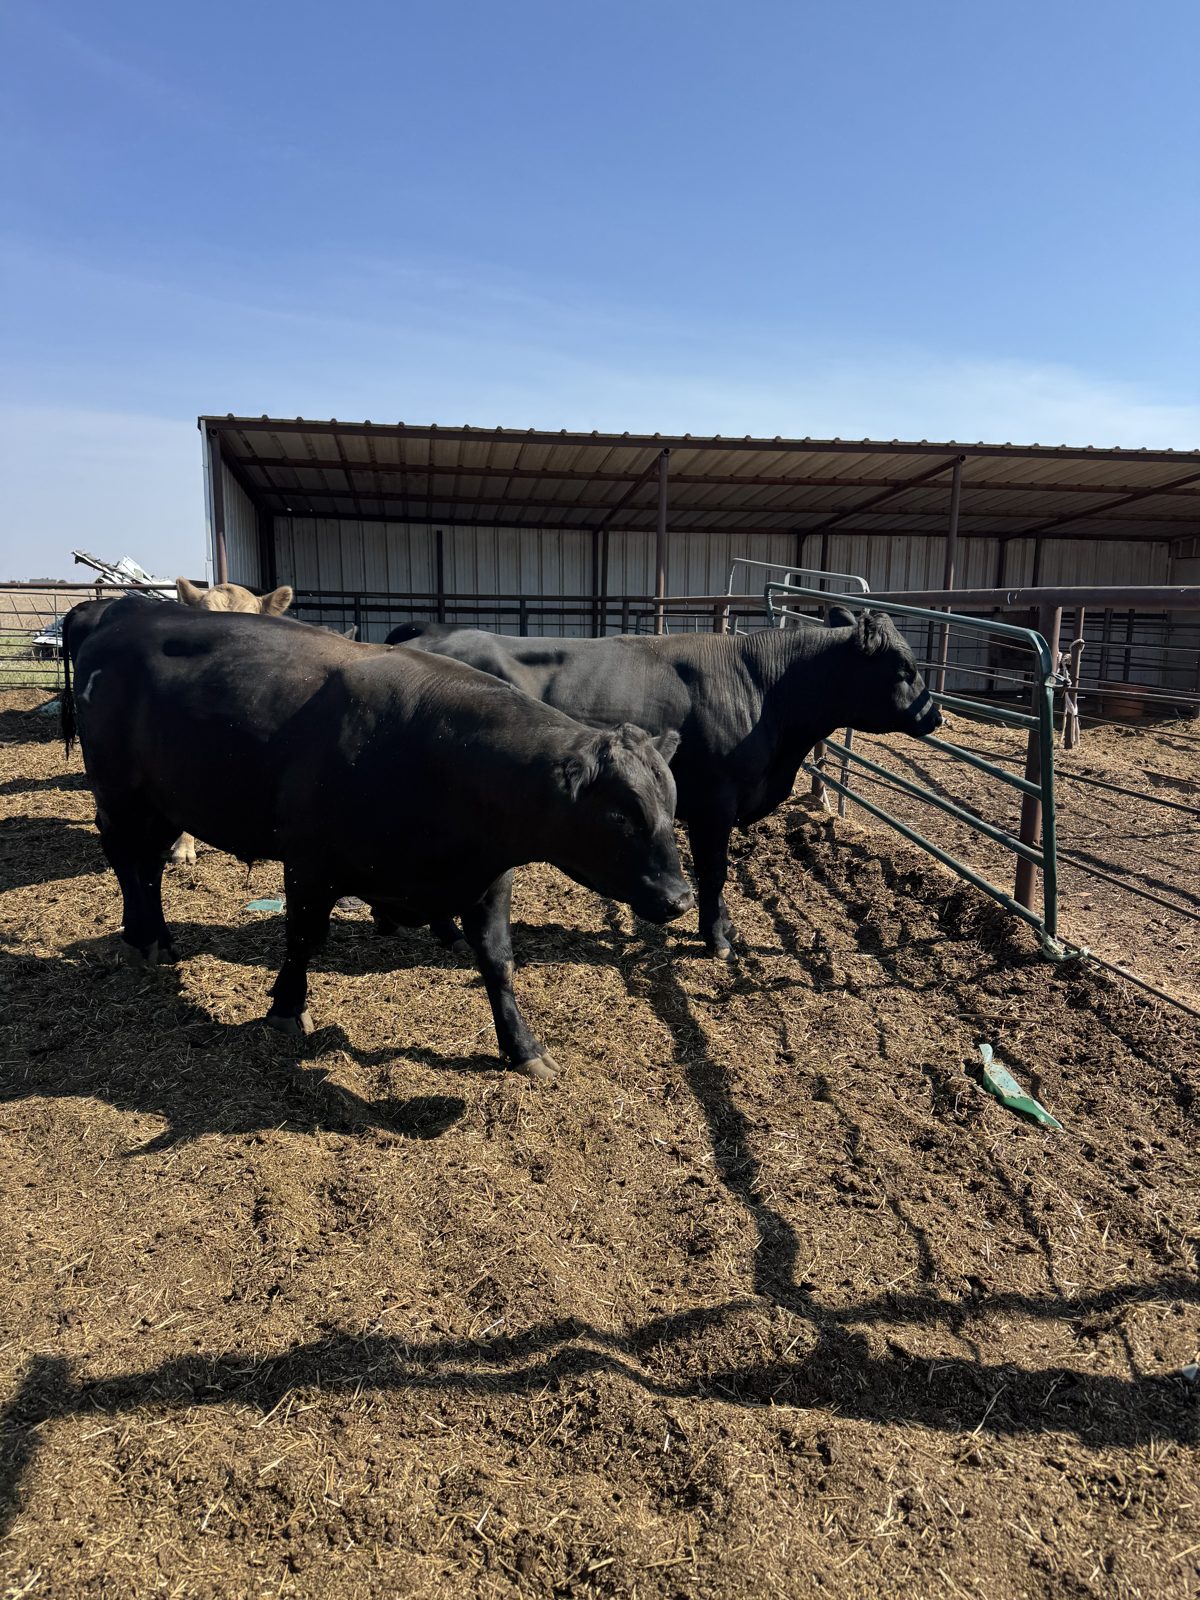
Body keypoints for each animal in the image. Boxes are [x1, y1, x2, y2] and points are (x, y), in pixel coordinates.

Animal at [63, 597, 692, 1080]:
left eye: (670, 806)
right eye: (622, 816)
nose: (680, 898)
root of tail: (125, 610)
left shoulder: (489, 876)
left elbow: (498, 962)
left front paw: (524, 1048)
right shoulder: (309, 863)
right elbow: (303, 940)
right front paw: (287, 1009)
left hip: (164, 801)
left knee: (150, 866)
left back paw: (161, 938)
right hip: (118, 793)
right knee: (127, 862)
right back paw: (141, 939)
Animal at [386, 609, 942, 958]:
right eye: (904, 667)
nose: (934, 716)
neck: (765, 688)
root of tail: (427, 633)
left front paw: (723, 927)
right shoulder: (715, 804)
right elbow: (714, 874)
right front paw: (717, 938)